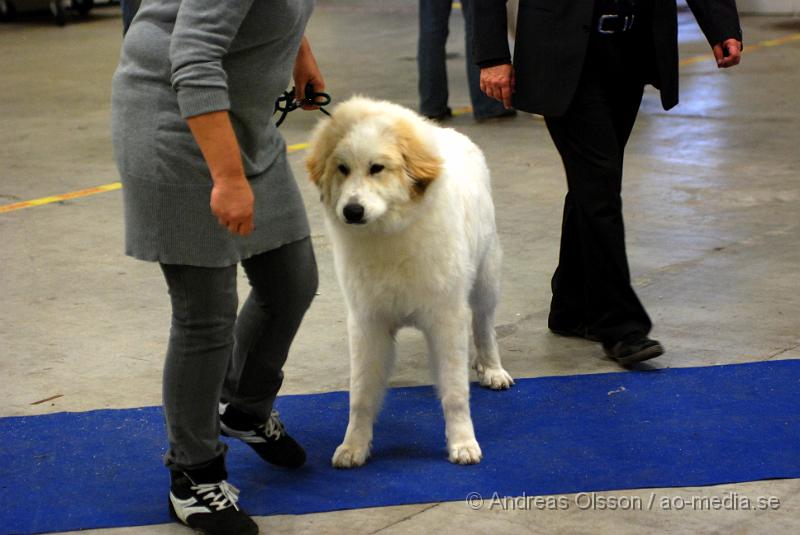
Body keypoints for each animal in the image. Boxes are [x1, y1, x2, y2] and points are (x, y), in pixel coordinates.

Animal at [306, 97, 512, 468]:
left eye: (377, 168)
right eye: (342, 168)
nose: (352, 211)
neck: (389, 234)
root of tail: (450, 133)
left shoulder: (446, 318)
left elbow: (455, 392)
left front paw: (463, 444)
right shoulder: (367, 322)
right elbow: (360, 395)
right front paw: (353, 447)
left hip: (486, 279)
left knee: (484, 325)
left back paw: (492, 369)